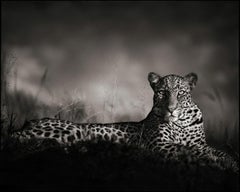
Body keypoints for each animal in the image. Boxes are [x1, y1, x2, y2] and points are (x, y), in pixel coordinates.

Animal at [9, 72, 238, 172]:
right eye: (163, 93)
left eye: (180, 93)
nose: (171, 109)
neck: (180, 122)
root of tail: (29, 122)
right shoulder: (160, 145)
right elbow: (189, 150)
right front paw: (214, 161)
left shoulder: (200, 143)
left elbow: (215, 151)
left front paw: (230, 161)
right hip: (71, 131)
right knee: (20, 141)